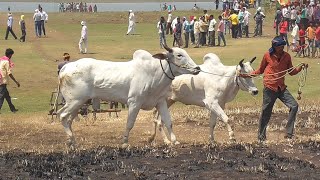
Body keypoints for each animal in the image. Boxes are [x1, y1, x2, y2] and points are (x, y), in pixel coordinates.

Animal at [56, 45, 199, 149]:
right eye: (179, 55)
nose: (197, 68)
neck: (154, 73)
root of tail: (66, 67)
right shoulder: (135, 102)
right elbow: (130, 123)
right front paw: (125, 143)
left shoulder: (161, 102)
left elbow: (168, 122)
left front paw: (174, 141)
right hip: (74, 101)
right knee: (62, 115)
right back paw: (71, 140)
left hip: (79, 103)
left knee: (68, 120)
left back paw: (72, 142)